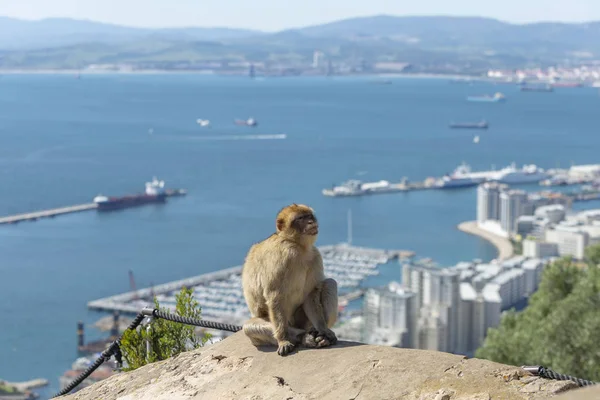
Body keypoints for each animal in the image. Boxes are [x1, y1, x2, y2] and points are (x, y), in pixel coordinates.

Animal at [243, 205, 340, 354]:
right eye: (300, 218)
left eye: (309, 216)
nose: (311, 222)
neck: (297, 245)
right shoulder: (282, 256)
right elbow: (275, 296)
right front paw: (283, 340)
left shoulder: (315, 256)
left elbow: (311, 293)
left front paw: (323, 330)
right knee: (249, 327)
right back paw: (303, 337)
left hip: (304, 322)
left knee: (330, 283)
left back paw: (319, 334)